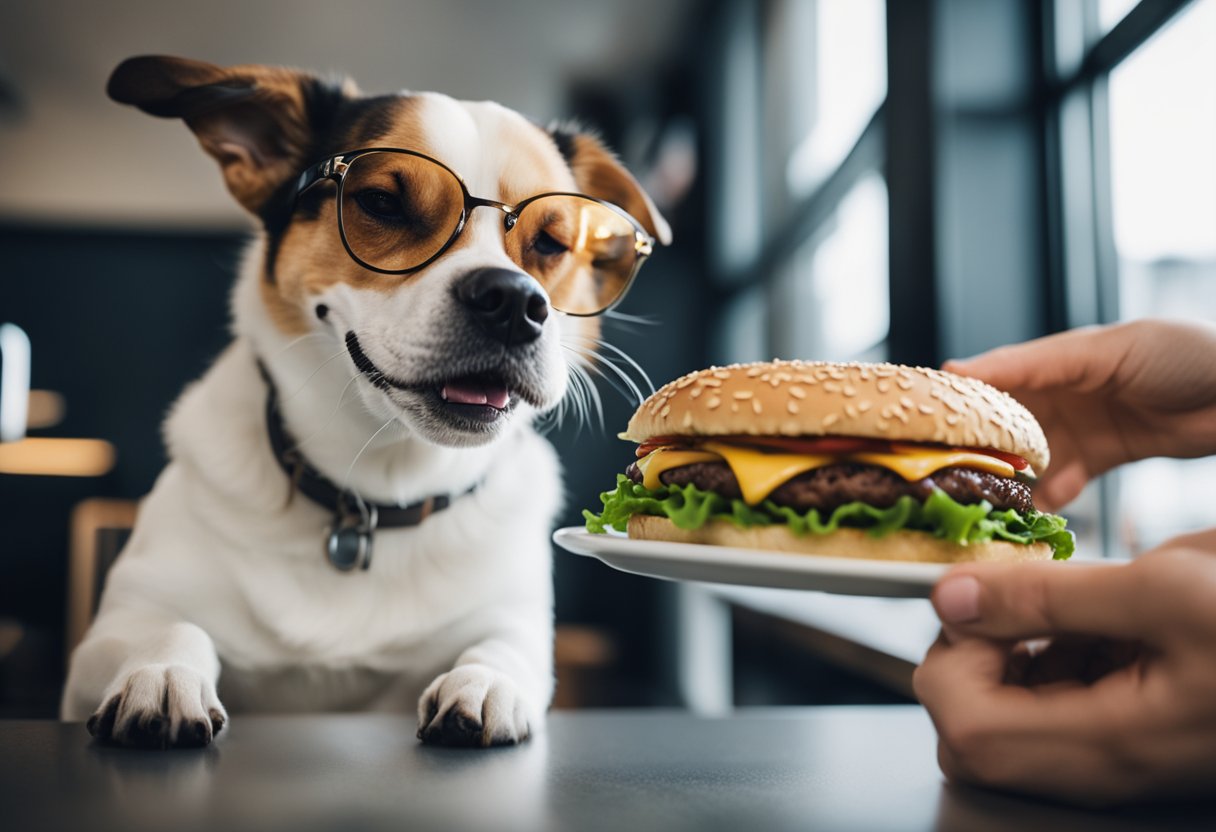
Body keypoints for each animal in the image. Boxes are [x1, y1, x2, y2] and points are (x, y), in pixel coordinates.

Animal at [61, 55, 671, 749]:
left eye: (551, 243)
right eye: (382, 202)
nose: (516, 302)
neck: (375, 492)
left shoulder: (517, 623)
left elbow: (502, 647)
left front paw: (485, 682)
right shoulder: (114, 627)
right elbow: (169, 626)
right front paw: (162, 671)